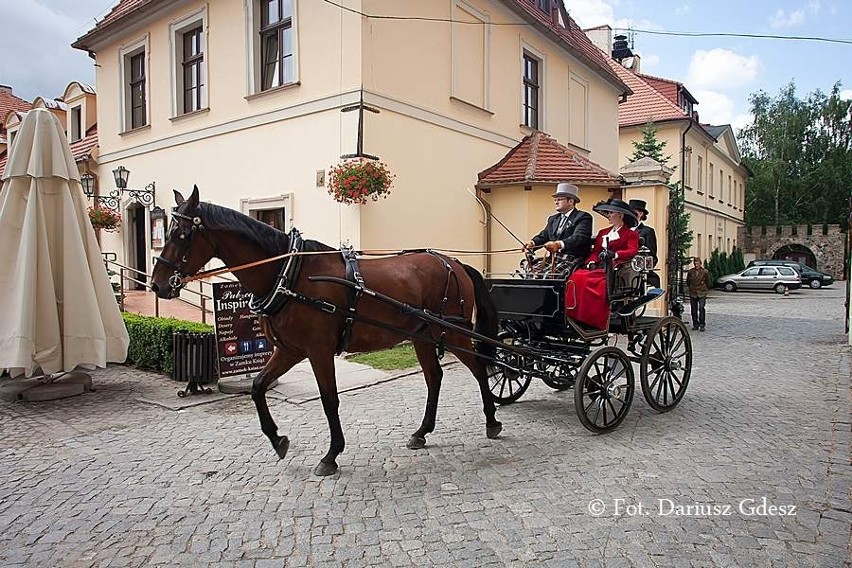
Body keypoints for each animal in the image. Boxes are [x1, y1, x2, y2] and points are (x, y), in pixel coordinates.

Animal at [150, 186, 502, 474]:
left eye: (181, 234)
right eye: (168, 231)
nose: (157, 284)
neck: (289, 274)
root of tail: (454, 263)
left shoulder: (318, 351)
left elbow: (329, 400)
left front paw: (331, 455)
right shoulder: (289, 350)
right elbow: (258, 387)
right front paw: (277, 439)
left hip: (454, 333)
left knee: (479, 368)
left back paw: (492, 420)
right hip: (423, 336)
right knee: (434, 377)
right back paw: (422, 432)